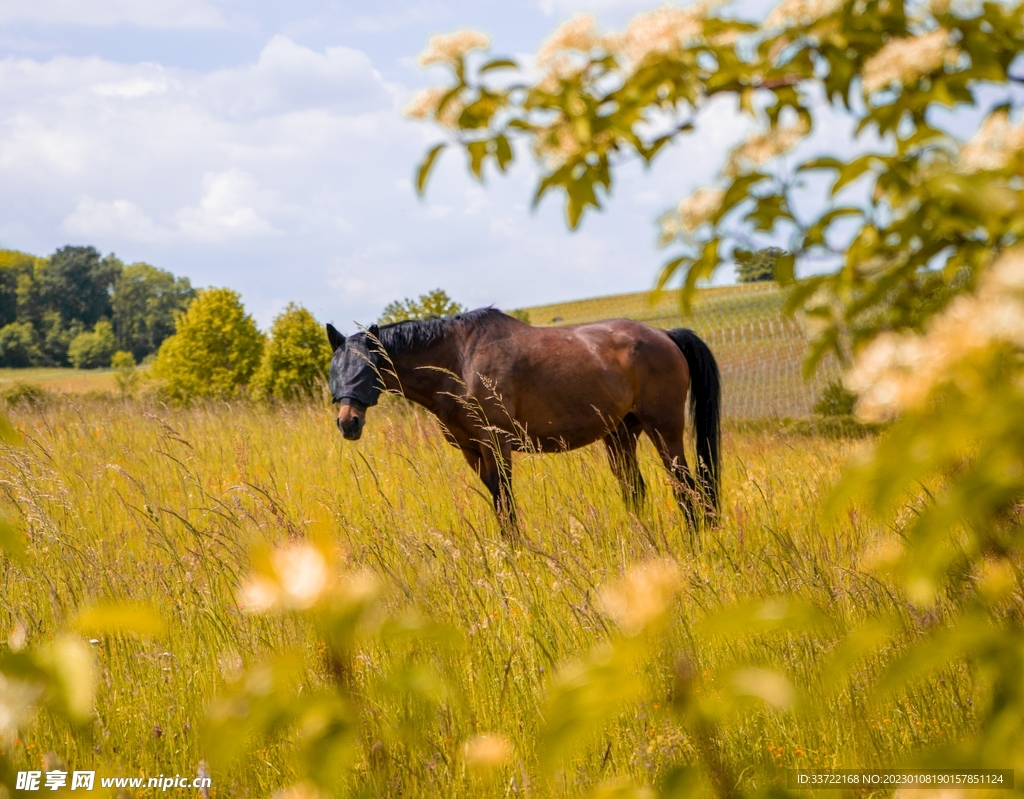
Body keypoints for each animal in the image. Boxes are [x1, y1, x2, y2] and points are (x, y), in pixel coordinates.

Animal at [326, 308, 721, 535]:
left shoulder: (497, 445)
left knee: (686, 487)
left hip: (664, 430)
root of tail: (665, 335)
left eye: (368, 368)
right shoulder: (472, 450)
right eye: (335, 369)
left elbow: (506, 502)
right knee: (635, 490)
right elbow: (498, 502)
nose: (348, 422)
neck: (458, 361)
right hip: (621, 435)